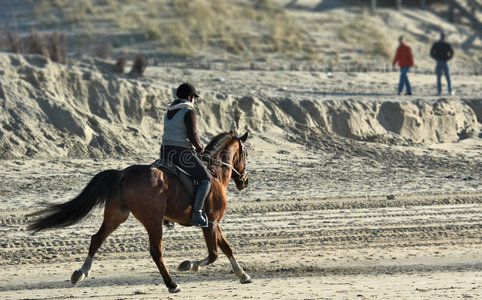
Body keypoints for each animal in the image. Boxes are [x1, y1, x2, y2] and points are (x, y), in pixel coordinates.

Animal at [28, 131, 252, 292]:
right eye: (246, 154)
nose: (245, 181)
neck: (215, 171)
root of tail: (123, 173)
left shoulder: (214, 223)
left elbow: (227, 248)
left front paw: (242, 274)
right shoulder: (210, 223)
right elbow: (214, 253)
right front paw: (189, 264)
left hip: (116, 215)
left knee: (96, 239)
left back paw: (81, 272)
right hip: (153, 221)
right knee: (156, 252)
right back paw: (172, 284)